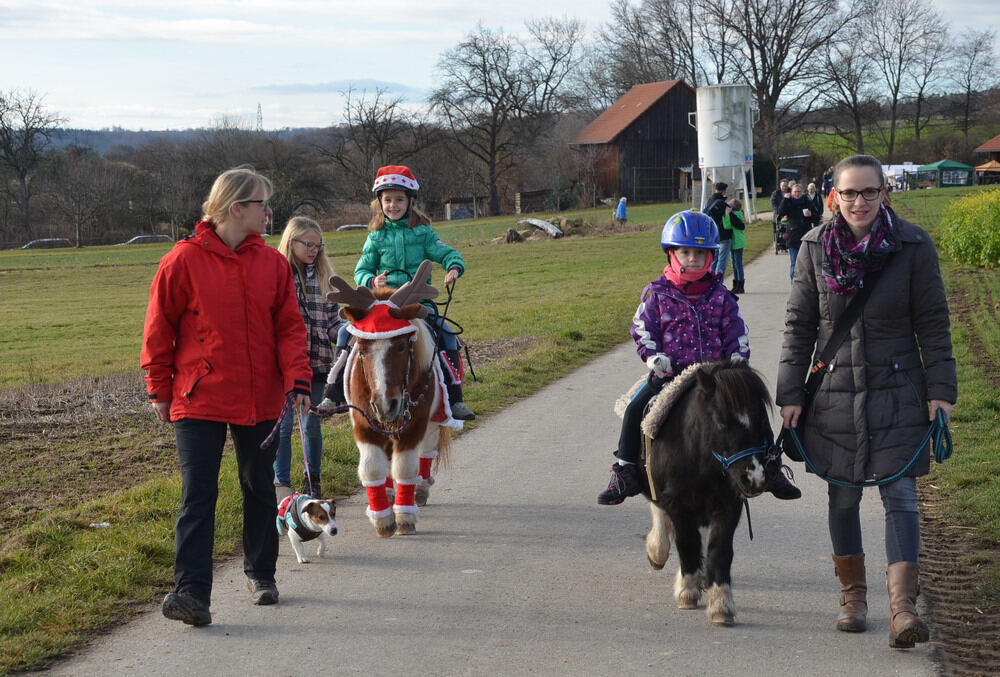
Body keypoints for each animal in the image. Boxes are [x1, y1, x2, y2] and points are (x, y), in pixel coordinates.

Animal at [326, 262, 456, 536]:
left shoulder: (416, 425)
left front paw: (404, 518)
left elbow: (405, 467)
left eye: (401, 346)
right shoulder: (364, 424)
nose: (386, 404)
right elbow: (371, 467)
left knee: (427, 452)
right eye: (362, 348)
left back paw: (420, 489)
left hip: (434, 421)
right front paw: (382, 519)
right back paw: (386, 492)